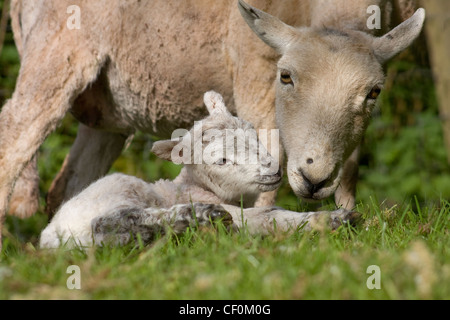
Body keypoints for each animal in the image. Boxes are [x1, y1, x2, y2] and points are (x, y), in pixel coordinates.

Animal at [39, 91, 356, 249]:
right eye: (222, 161)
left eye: (254, 134)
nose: (273, 170)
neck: (191, 188)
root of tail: (51, 237)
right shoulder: (241, 214)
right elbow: (270, 216)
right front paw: (335, 219)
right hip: (117, 189)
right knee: (106, 222)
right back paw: (193, 218)